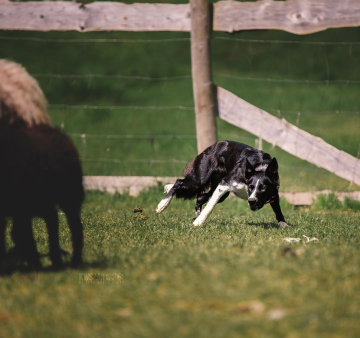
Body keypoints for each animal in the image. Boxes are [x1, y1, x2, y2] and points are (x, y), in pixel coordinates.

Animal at [156, 140, 288, 227]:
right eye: (250, 187)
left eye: (264, 188)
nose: (251, 201)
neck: (260, 168)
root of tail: (214, 145)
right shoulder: (224, 183)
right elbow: (210, 206)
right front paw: (199, 222)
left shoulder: (274, 193)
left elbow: (278, 210)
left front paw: (284, 225)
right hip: (199, 179)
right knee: (179, 182)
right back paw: (162, 205)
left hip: (222, 193)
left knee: (200, 197)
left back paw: (197, 213)